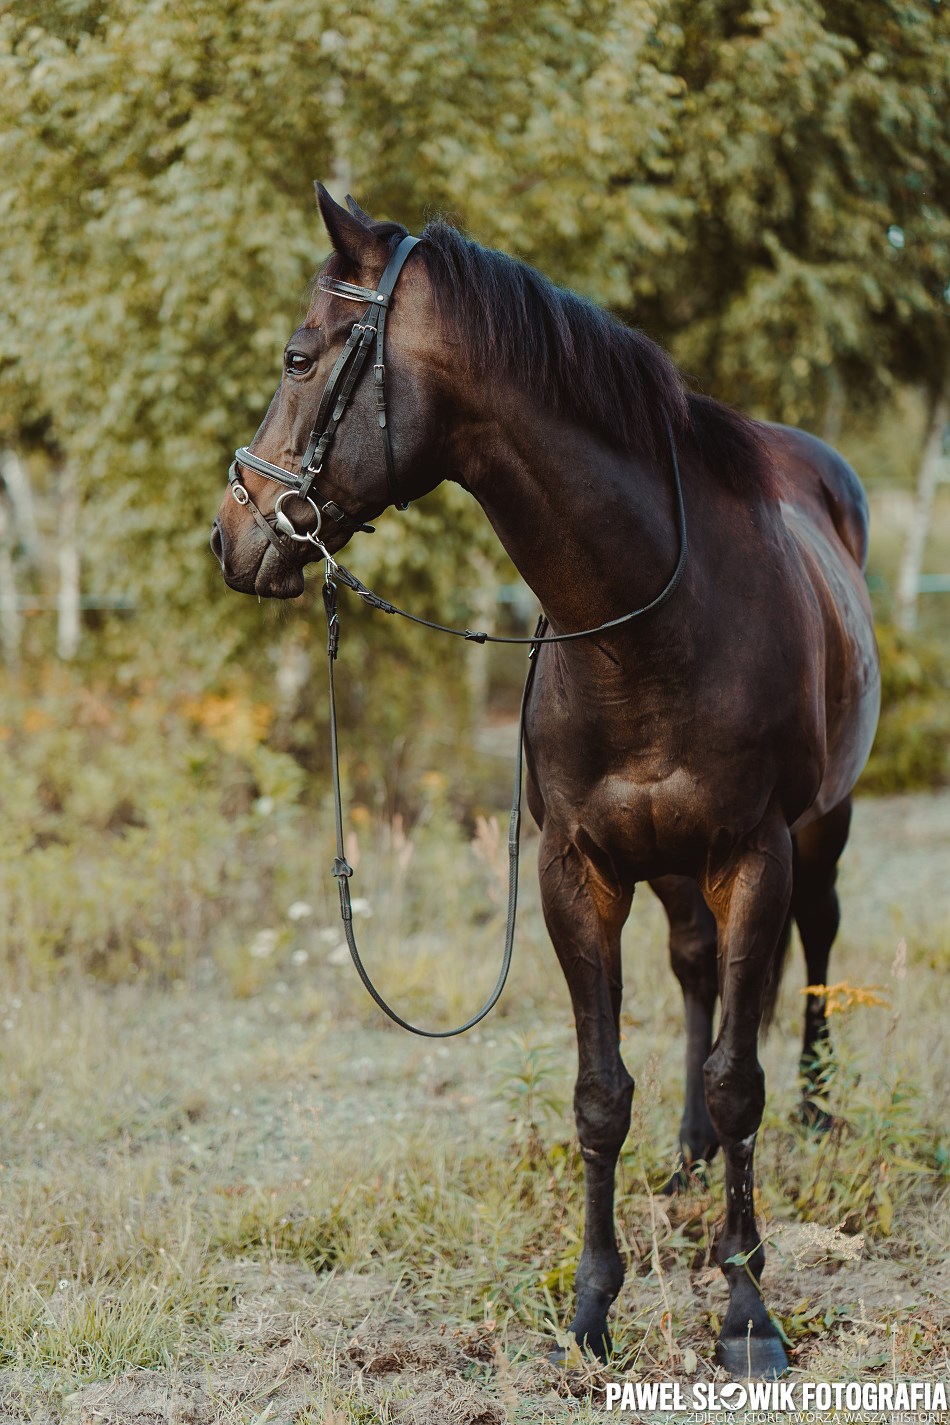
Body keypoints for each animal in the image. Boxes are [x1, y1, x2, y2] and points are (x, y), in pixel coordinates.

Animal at [212, 192, 883, 1379]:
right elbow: (600, 1093)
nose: (232, 531)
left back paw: (810, 1112)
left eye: (298, 356)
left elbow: (737, 1075)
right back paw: (687, 1155)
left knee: (809, 954)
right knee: (697, 971)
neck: (648, 623)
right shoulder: (580, 871)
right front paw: (591, 1308)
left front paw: (746, 1312)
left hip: (820, 828)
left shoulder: (753, 854)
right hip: (672, 866)